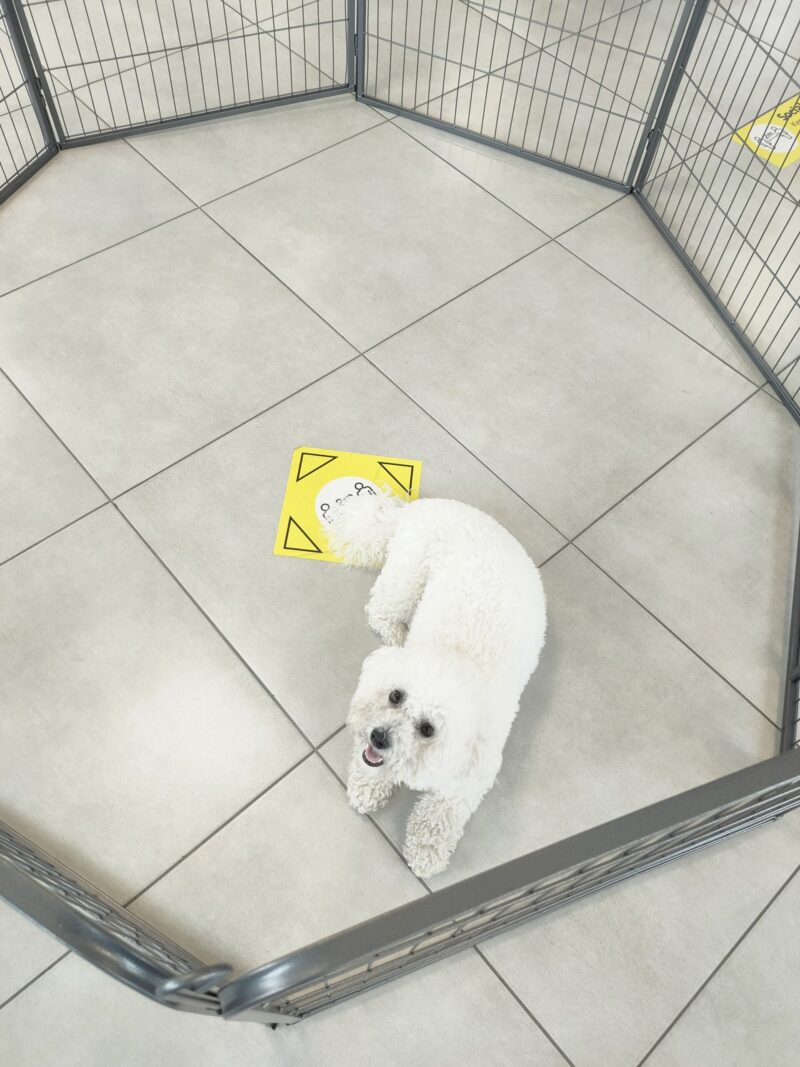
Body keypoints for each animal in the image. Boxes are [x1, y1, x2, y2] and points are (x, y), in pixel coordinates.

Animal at [326, 490, 546, 874]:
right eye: (395, 696)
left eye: (427, 729)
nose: (378, 737)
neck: (461, 660)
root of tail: (421, 506)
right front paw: (368, 788)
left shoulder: (466, 780)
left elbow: (438, 816)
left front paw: (426, 851)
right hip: (406, 576)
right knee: (380, 609)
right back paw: (396, 634)